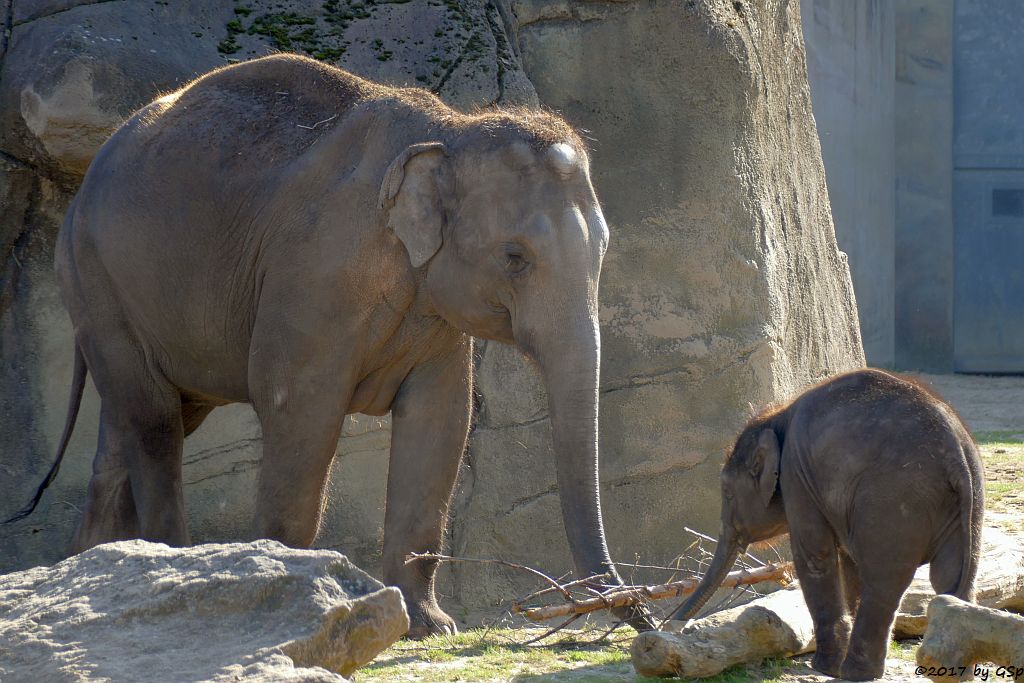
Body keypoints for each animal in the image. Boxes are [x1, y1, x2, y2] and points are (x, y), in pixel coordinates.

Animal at [6, 56, 647, 638]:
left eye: (604, 248)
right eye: (515, 257)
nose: (637, 609)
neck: (450, 128)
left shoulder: (432, 307)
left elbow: (441, 421)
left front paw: (430, 627)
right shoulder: (315, 273)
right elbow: (299, 409)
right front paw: (291, 595)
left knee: (136, 420)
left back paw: (90, 572)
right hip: (97, 282)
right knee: (156, 422)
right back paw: (164, 566)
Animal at [671, 370, 983, 679]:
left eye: (727, 492)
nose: (671, 626)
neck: (777, 416)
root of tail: (956, 454)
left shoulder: (797, 475)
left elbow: (815, 558)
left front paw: (824, 668)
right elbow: (849, 564)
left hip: (894, 501)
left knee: (884, 580)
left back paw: (856, 673)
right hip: (965, 504)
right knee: (951, 578)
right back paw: (952, 674)